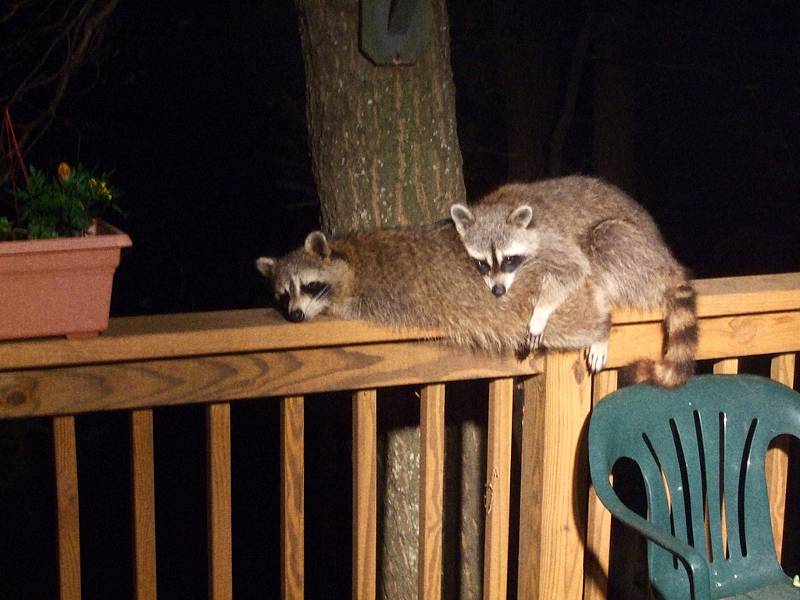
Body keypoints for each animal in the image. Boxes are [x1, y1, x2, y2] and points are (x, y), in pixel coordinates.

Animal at [454, 176, 696, 386]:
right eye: (482, 263)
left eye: (509, 260)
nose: (498, 290)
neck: (500, 203)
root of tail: (667, 261)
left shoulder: (549, 238)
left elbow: (576, 267)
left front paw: (541, 311)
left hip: (640, 256)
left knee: (605, 239)